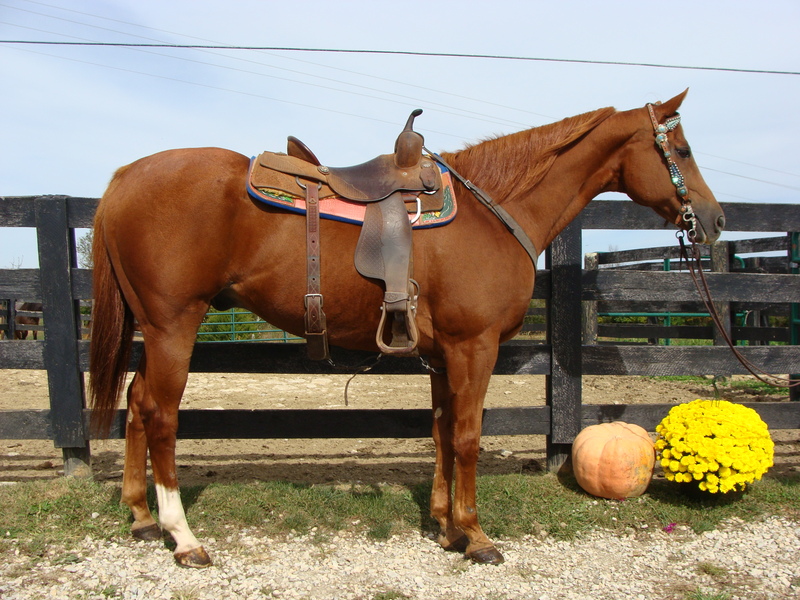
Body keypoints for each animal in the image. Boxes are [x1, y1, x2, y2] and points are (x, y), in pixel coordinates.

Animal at [89, 90, 724, 567]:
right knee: (161, 415)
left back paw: (142, 518)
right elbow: (466, 438)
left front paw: (446, 528)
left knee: (137, 402)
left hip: (155, 328)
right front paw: (477, 536)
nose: (716, 220)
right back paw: (183, 537)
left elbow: (441, 432)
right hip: (175, 324)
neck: (492, 215)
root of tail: (122, 177)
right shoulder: (474, 348)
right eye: (683, 148)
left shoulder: (445, 356)